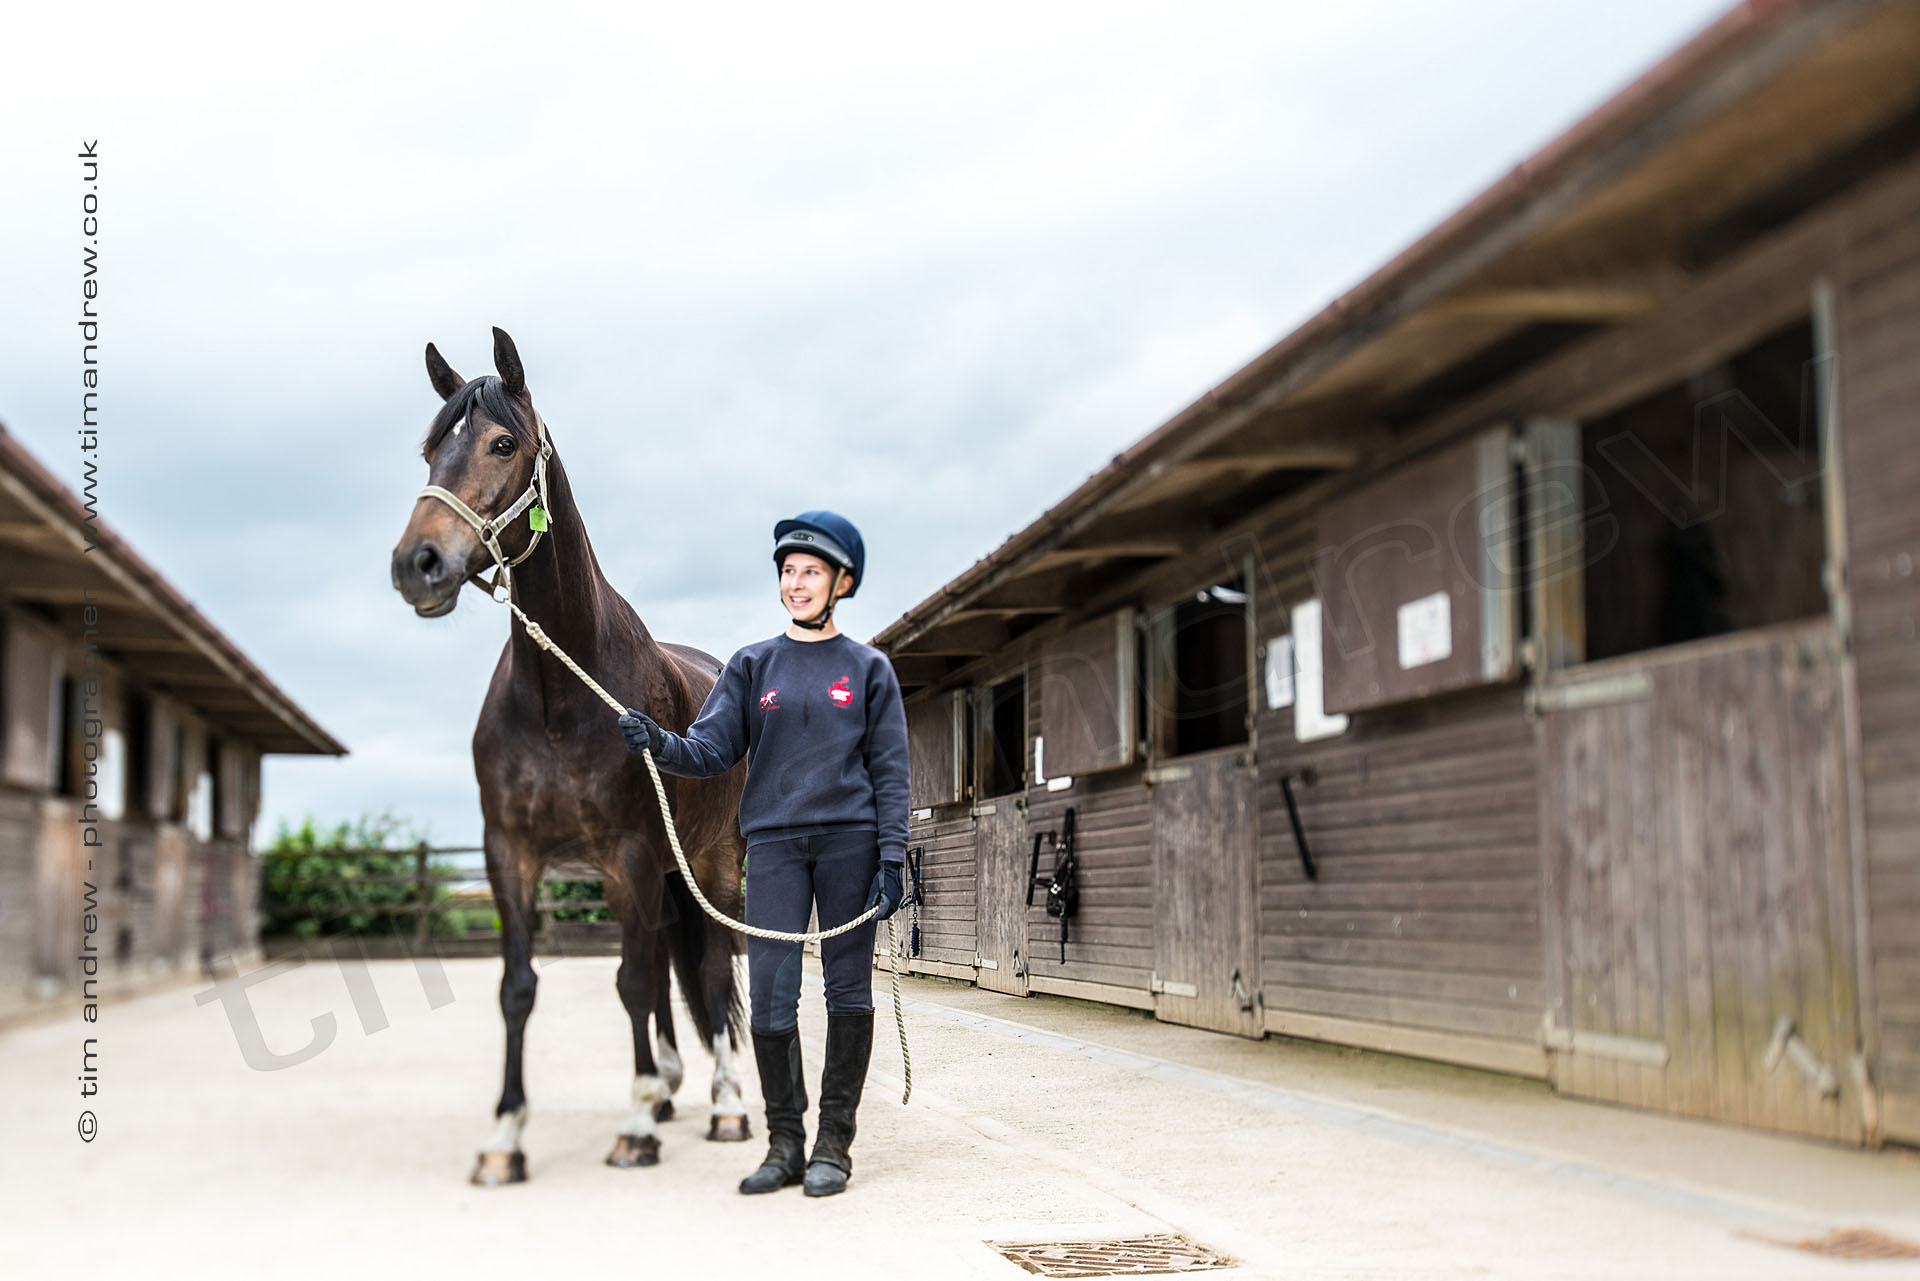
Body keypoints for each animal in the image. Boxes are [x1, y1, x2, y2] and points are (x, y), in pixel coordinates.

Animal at [387, 328, 748, 1183]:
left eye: (502, 443)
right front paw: (504, 1138)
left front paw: (634, 1127)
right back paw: (668, 1086)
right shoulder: (510, 854)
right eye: (429, 449)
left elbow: (634, 982)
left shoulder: (629, 854)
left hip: (711, 862)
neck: (559, 694)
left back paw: (723, 1103)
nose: (417, 563)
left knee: (713, 972)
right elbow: (520, 988)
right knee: (669, 964)